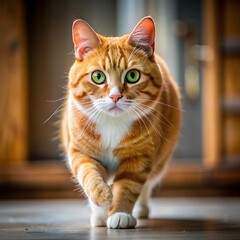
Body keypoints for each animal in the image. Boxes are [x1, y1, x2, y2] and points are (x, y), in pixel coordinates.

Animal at [61, 15, 181, 228]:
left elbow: (127, 187)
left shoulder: (138, 158)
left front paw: (120, 213)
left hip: (160, 161)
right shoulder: (81, 152)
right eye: (98, 76)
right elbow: (89, 175)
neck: (112, 124)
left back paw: (141, 209)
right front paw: (101, 200)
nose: (115, 96)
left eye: (133, 75)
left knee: (147, 185)